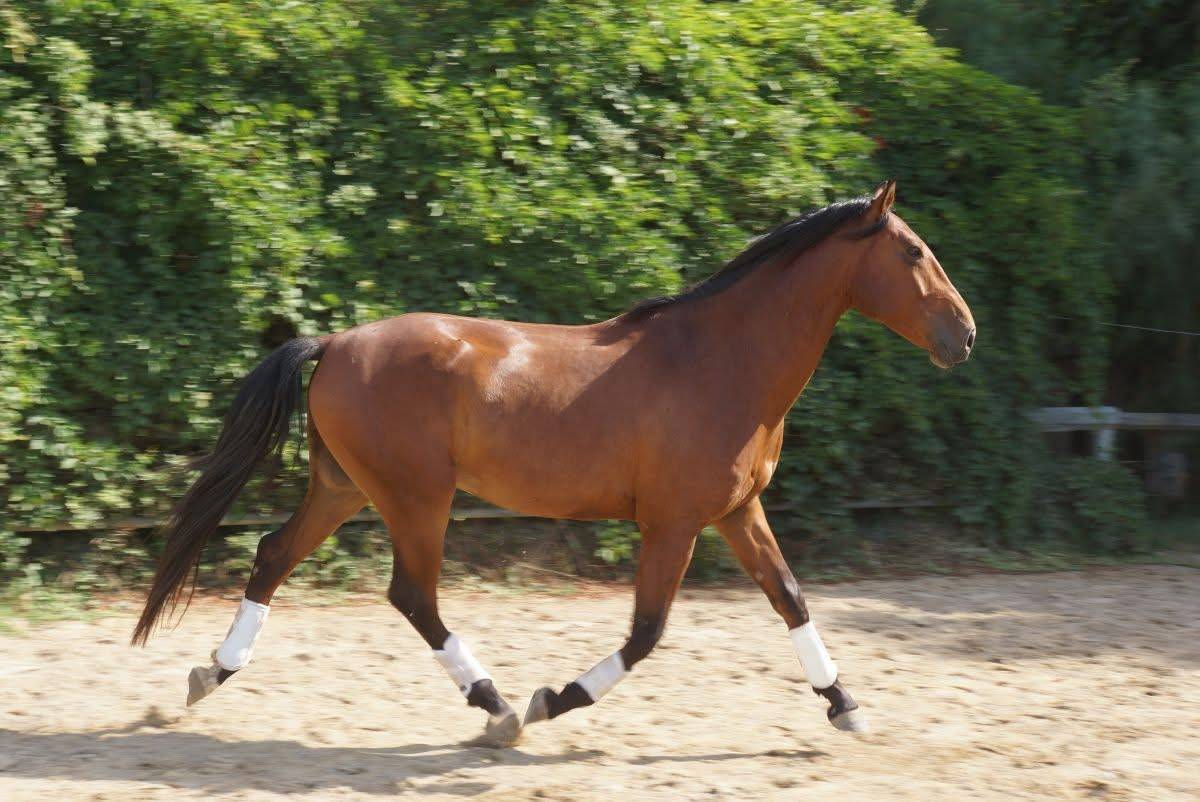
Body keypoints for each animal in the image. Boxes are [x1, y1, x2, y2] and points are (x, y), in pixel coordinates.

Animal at [132, 180, 975, 746]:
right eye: (912, 252)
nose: (963, 335)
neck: (721, 362)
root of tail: (335, 342)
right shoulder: (672, 524)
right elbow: (646, 633)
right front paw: (553, 699)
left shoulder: (738, 511)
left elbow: (791, 598)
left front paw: (847, 707)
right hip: (416, 498)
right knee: (412, 595)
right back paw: (499, 708)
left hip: (344, 488)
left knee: (274, 555)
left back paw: (210, 675)